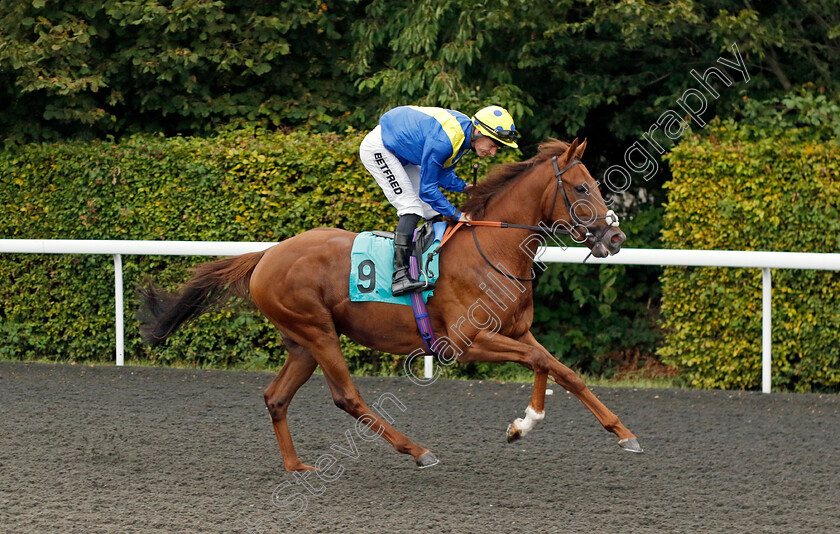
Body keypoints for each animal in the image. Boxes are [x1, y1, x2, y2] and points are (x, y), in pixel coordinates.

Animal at [139, 138, 644, 474]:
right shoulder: (467, 342)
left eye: (596, 184)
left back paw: (296, 466)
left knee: (276, 397)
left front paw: (597, 431)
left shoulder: (517, 331)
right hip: (318, 332)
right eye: (581, 189)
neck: (495, 248)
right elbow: (544, 363)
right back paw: (417, 451)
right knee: (347, 397)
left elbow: (560, 370)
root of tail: (267, 254)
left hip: (302, 342)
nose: (616, 237)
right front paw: (531, 424)